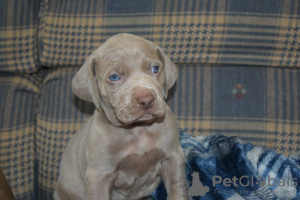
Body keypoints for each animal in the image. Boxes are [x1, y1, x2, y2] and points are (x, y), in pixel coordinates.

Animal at [52, 33, 186, 199]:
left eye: (155, 69)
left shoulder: (173, 157)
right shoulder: (99, 176)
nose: (146, 100)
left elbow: (177, 189)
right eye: (114, 77)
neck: (138, 130)